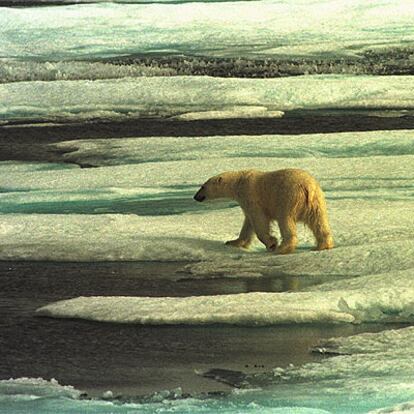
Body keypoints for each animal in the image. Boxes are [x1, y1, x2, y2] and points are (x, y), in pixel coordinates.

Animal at [193, 167, 334, 252]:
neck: (239, 182)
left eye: (202, 186)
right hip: (317, 202)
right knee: (319, 221)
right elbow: (248, 223)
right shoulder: (246, 202)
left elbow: (259, 220)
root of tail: (308, 188)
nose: (195, 197)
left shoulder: (251, 196)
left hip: (288, 198)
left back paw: (282, 248)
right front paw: (232, 242)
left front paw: (271, 243)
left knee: (285, 220)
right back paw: (323, 245)